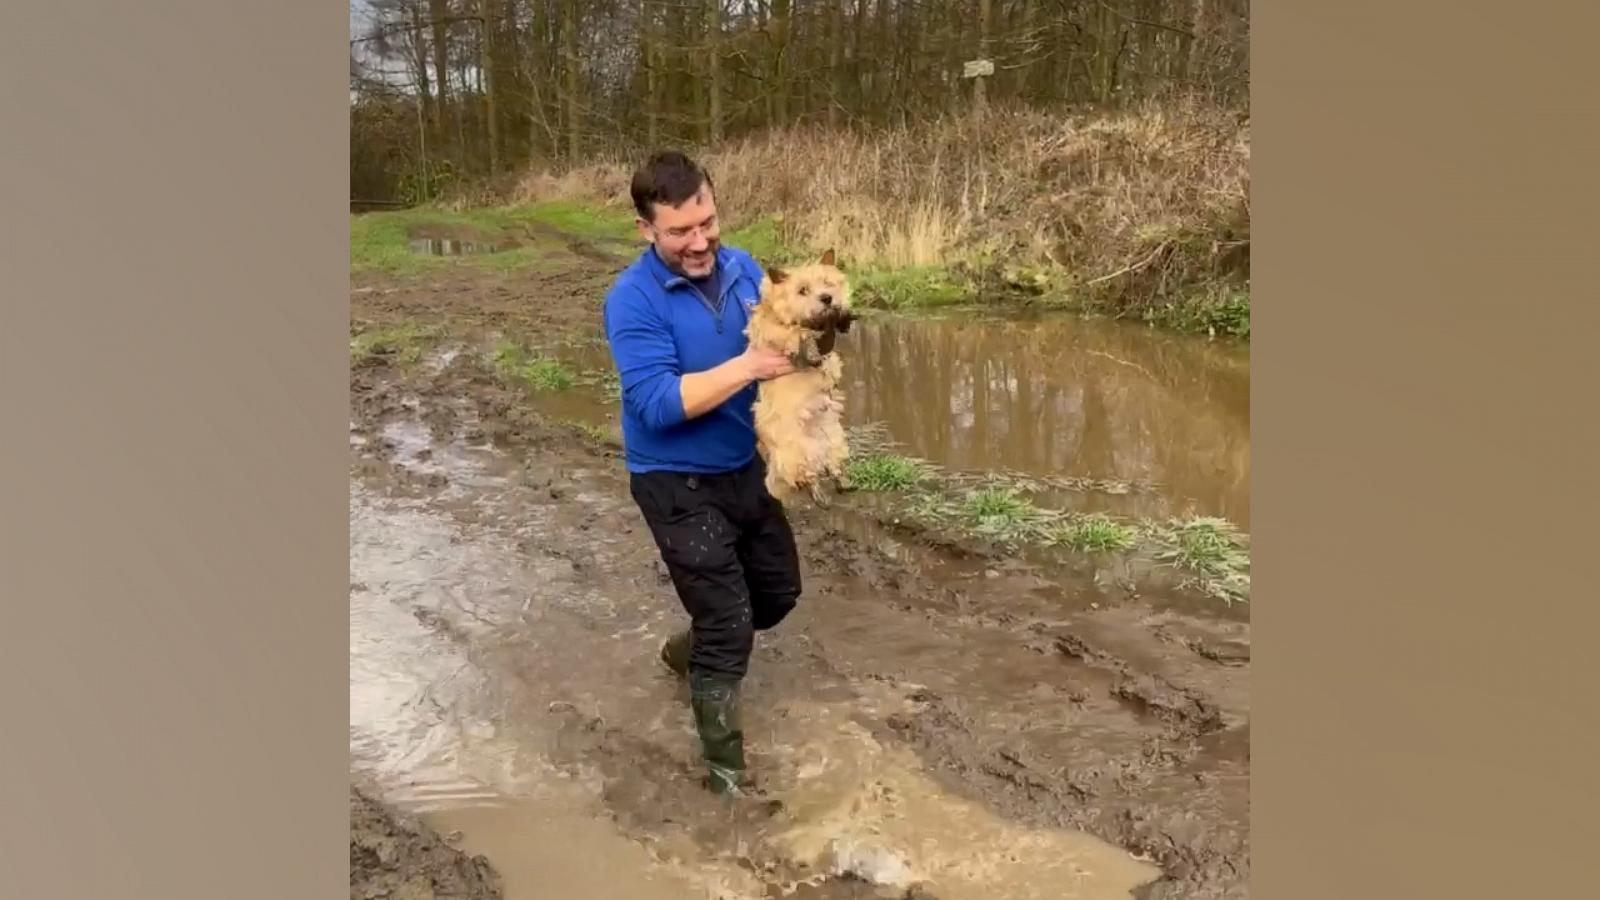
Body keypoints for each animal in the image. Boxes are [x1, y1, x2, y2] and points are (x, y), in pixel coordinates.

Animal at [742, 249, 857, 506]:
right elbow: (793, 332)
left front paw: (843, 314)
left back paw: (842, 482)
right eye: (802, 290)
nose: (827, 298)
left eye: (828, 283)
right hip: (793, 452)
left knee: (832, 467)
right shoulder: (772, 331)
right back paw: (818, 493)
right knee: (803, 477)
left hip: (834, 439)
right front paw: (807, 345)